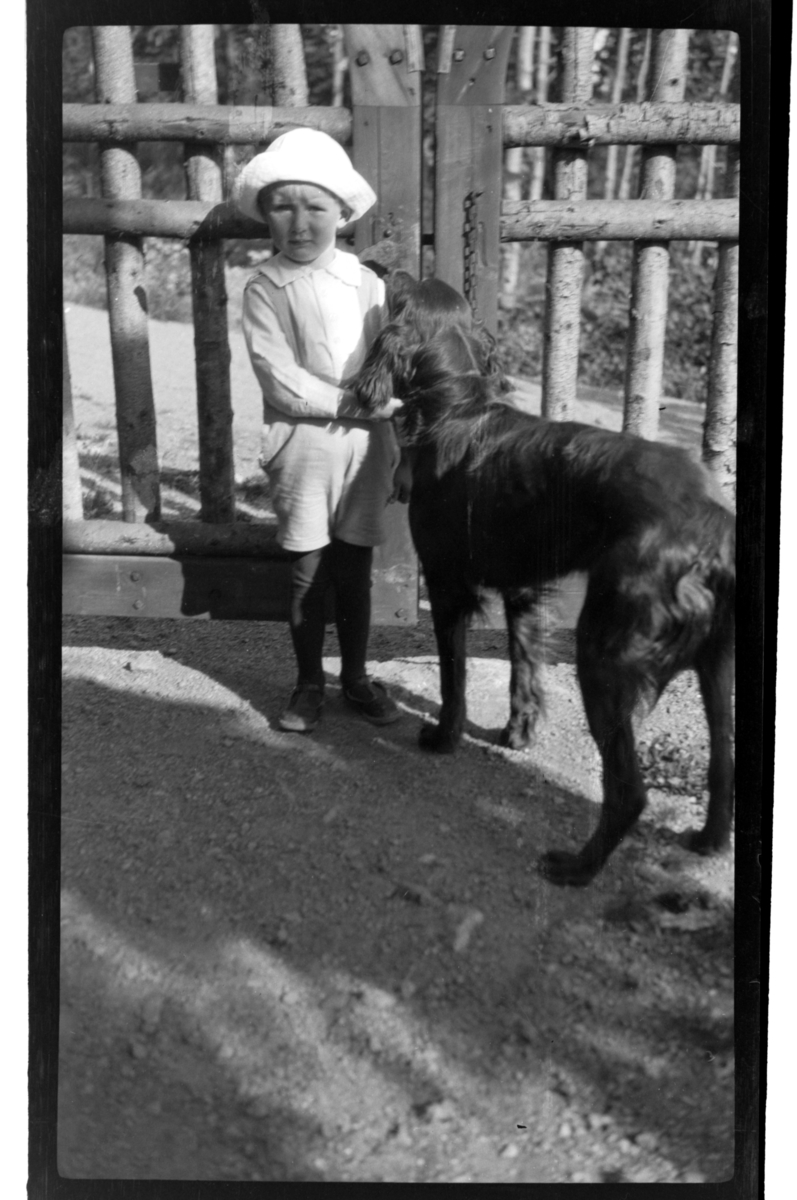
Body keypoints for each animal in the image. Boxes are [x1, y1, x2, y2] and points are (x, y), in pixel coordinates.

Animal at [355, 276, 734, 888]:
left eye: (402, 290)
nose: (383, 266)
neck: (454, 409)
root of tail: (713, 521)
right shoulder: (523, 589)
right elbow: (523, 669)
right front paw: (518, 733)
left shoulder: (447, 583)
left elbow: (454, 677)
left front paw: (443, 738)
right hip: (716, 663)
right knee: (724, 765)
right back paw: (707, 840)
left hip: (602, 652)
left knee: (628, 792)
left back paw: (576, 867)